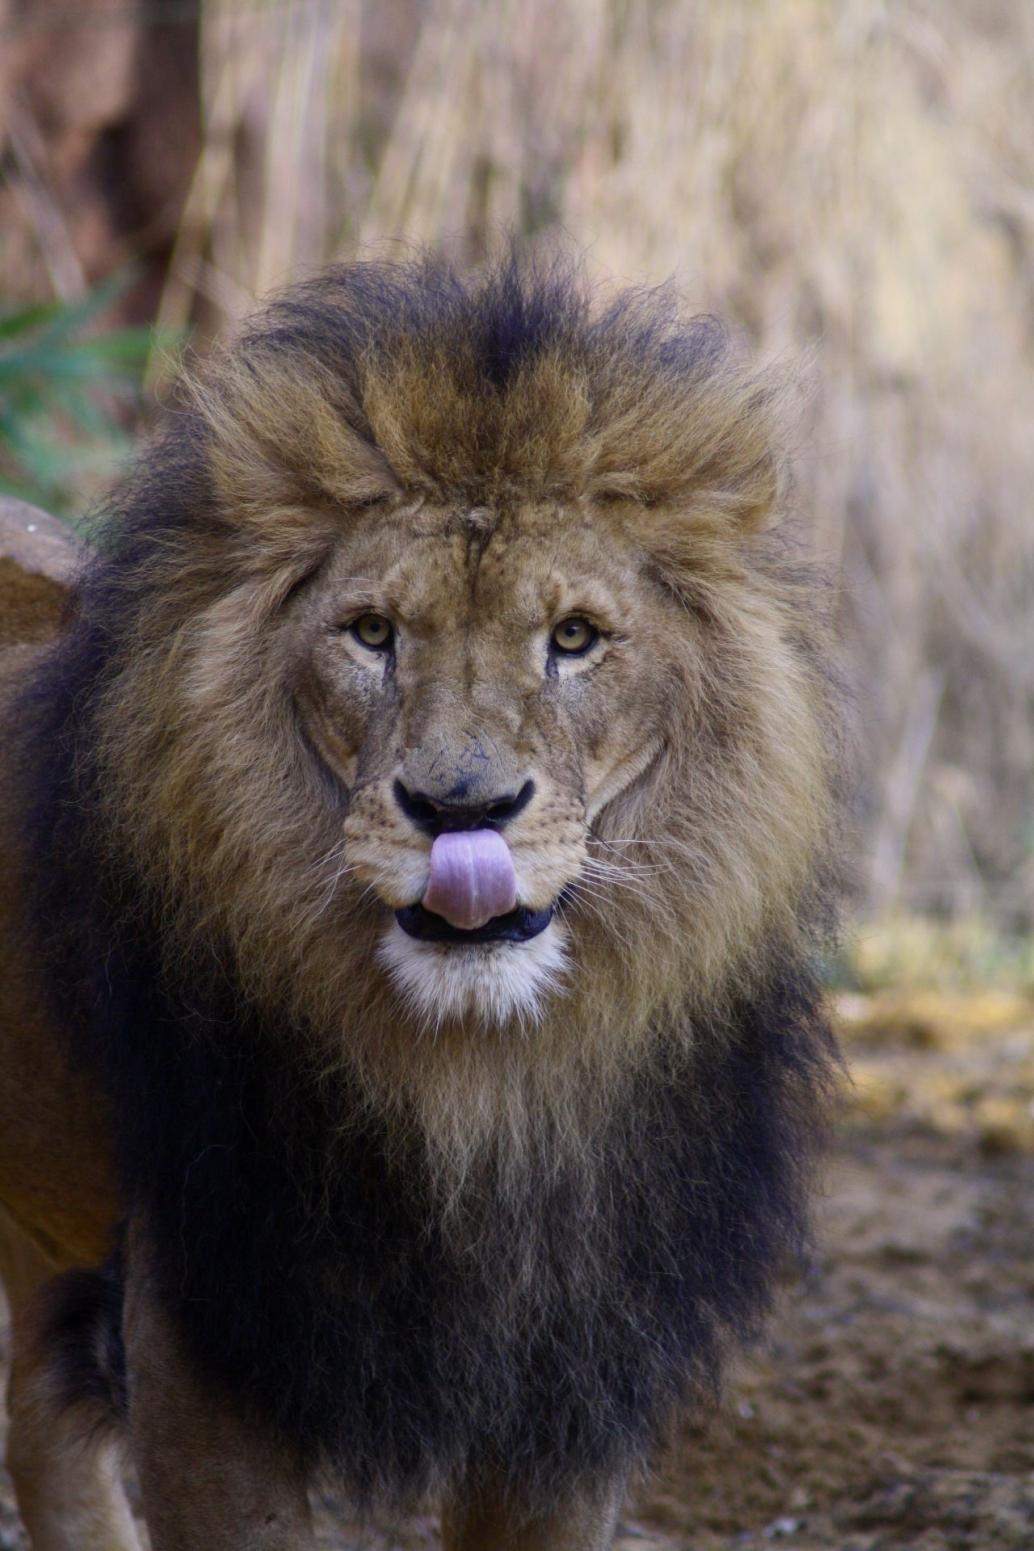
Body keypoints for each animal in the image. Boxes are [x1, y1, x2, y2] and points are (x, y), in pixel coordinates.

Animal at [0, 254, 841, 1551]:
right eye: (370, 633)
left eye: (574, 637)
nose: (460, 810)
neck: (470, 1085)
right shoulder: (213, 1330)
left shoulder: (573, 1359)